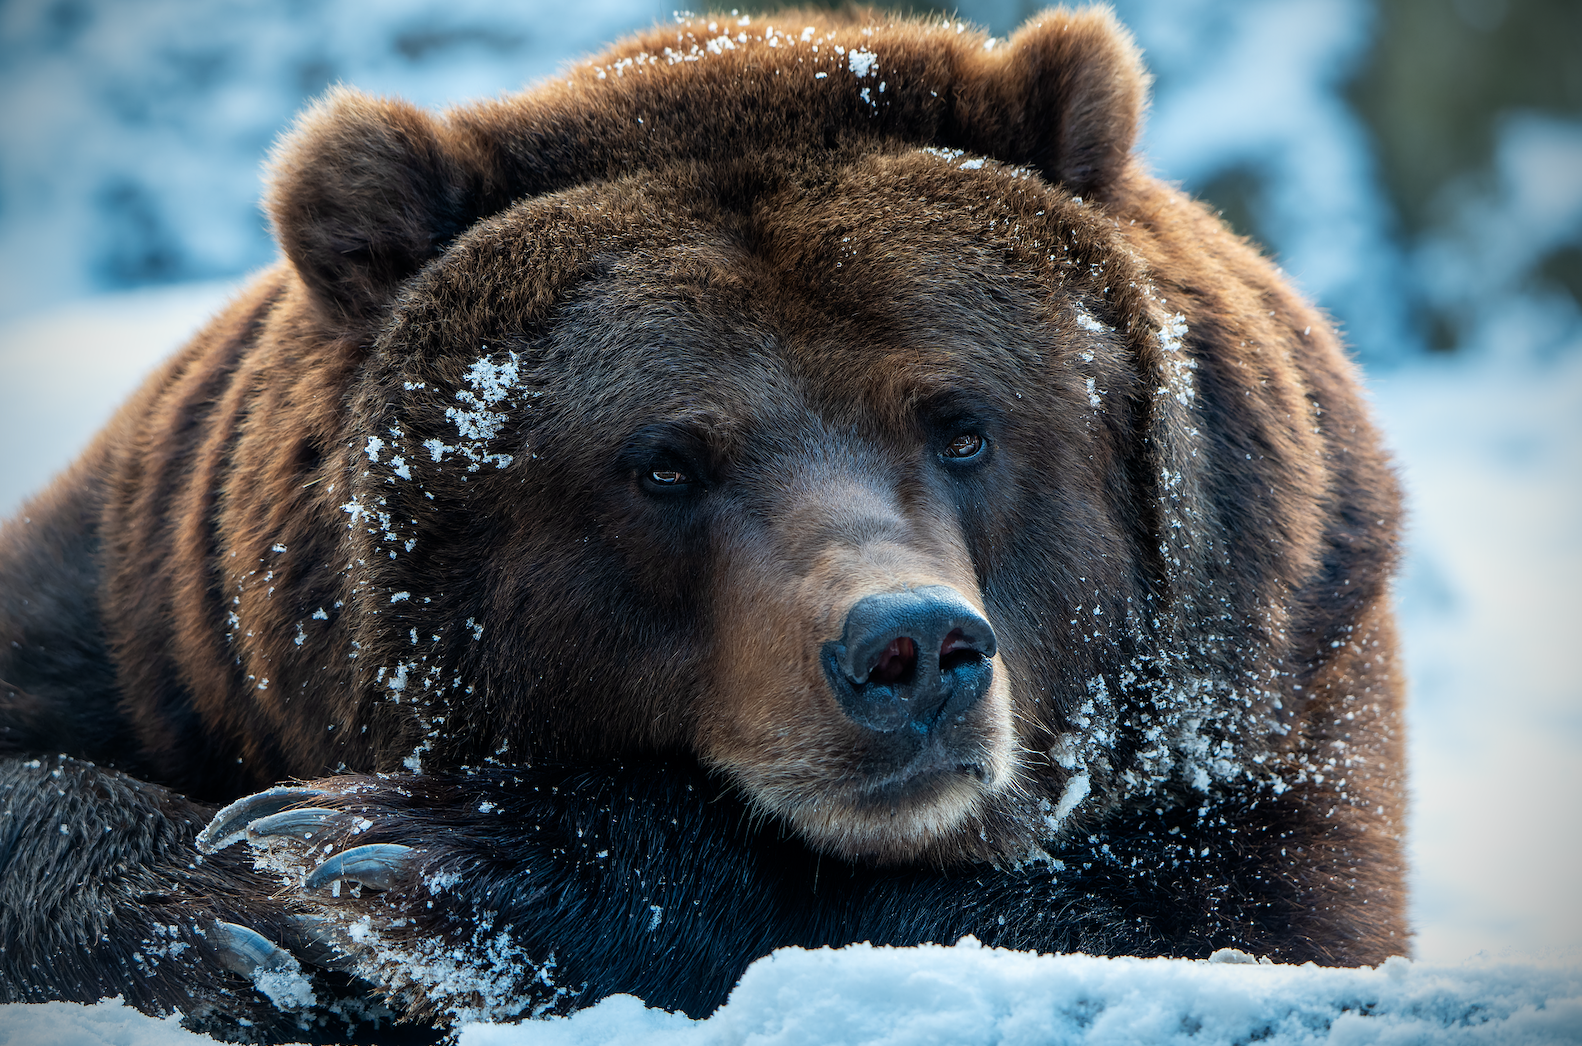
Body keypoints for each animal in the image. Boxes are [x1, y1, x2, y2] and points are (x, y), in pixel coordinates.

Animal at [0, 6, 1408, 1042]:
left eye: (962, 423)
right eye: (665, 463)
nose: (910, 649)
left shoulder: (1284, 666)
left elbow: (1211, 920)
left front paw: (398, 855)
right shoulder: (157, 614)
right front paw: (230, 910)